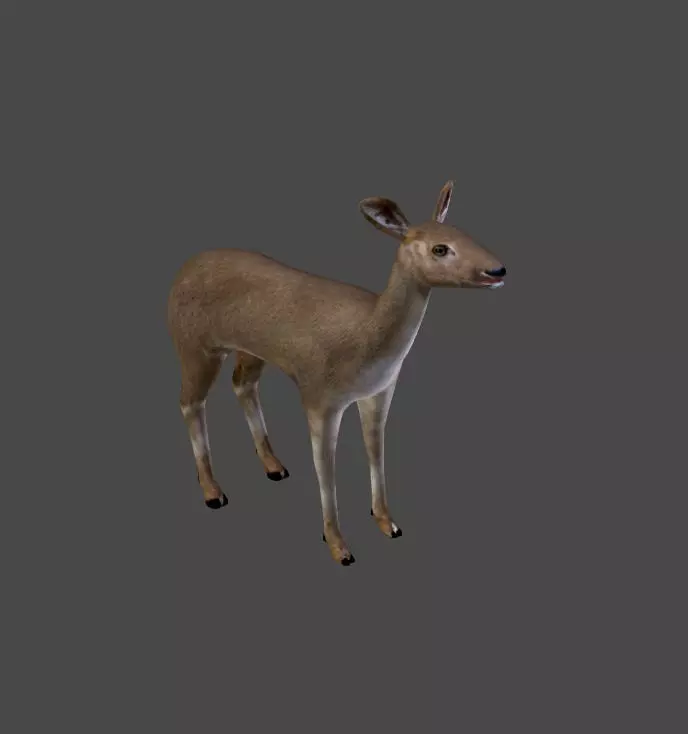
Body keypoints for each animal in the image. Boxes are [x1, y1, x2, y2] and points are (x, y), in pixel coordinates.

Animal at [167, 180, 507, 566]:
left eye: (465, 232)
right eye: (440, 248)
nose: (497, 271)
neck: (366, 337)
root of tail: (181, 271)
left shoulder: (379, 391)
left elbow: (375, 449)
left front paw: (387, 522)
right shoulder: (319, 396)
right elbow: (325, 467)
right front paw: (338, 546)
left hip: (251, 350)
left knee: (242, 384)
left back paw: (273, 466)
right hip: (194, 344)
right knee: (190, 401)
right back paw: (213, 492)